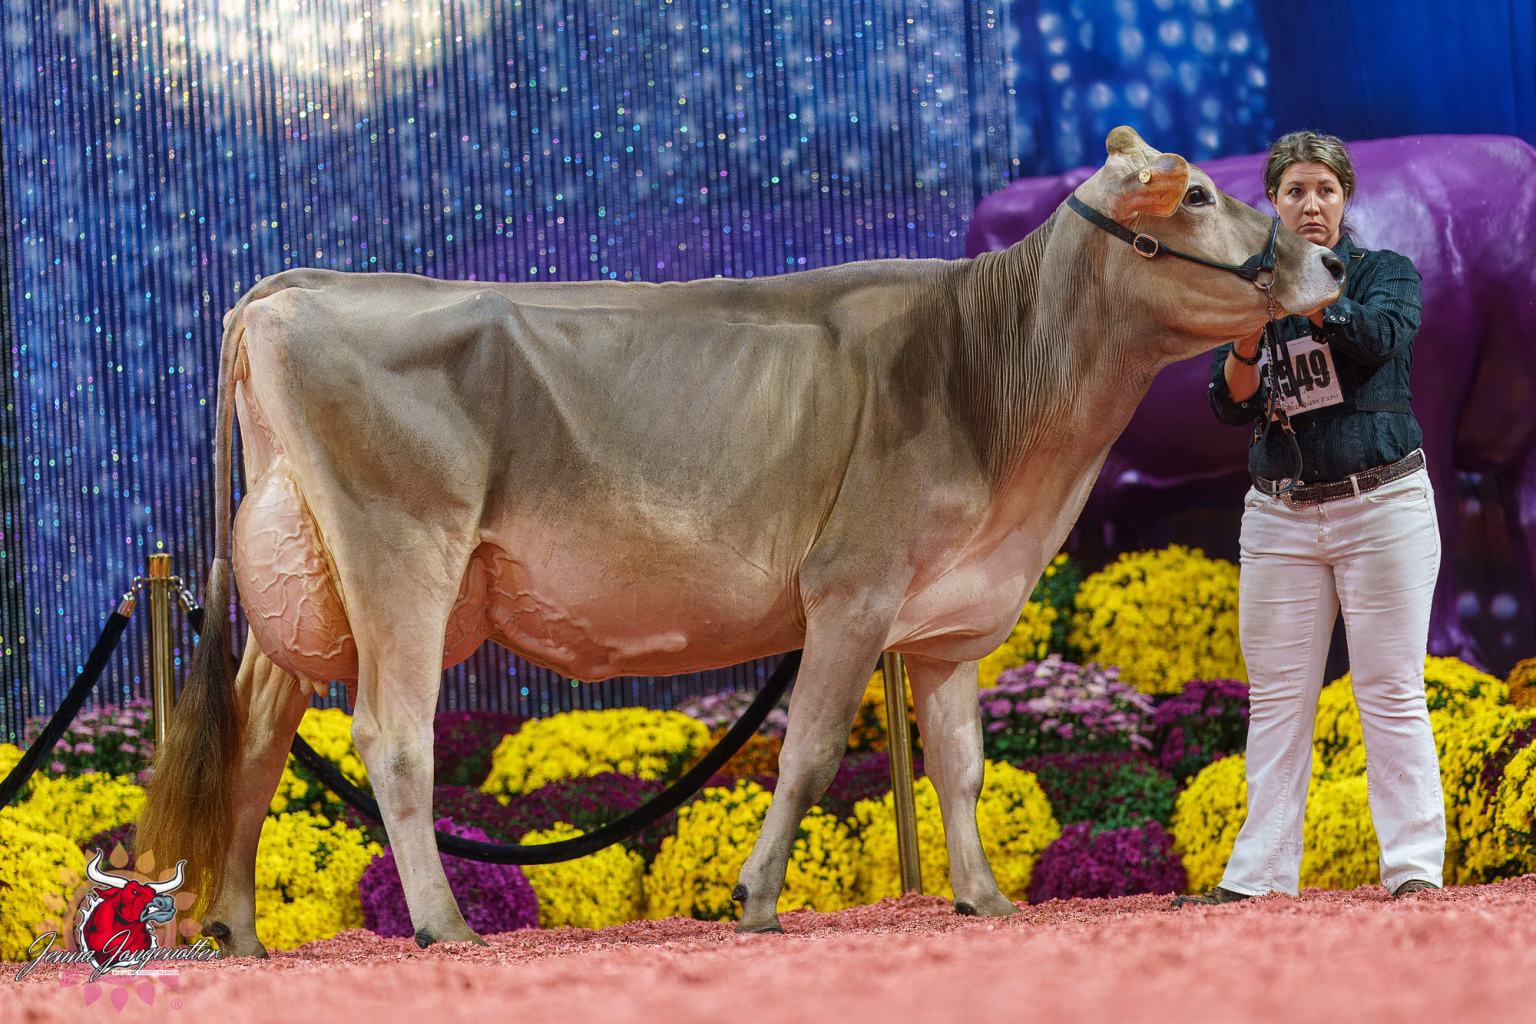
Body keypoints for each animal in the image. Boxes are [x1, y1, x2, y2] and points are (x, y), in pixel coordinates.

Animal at [136, 126, 1343, 955]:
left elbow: (959, 764)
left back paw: (236, 930)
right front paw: (756, 898)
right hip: (400, 558)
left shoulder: (952, 618)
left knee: (254, 735)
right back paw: (442, 923)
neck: (991, 379)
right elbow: (809, 751)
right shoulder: (852, 590)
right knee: (390, 736)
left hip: (304, 582)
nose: (1331, 267)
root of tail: (295, 287)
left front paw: (985, 896)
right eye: (1198, 193)